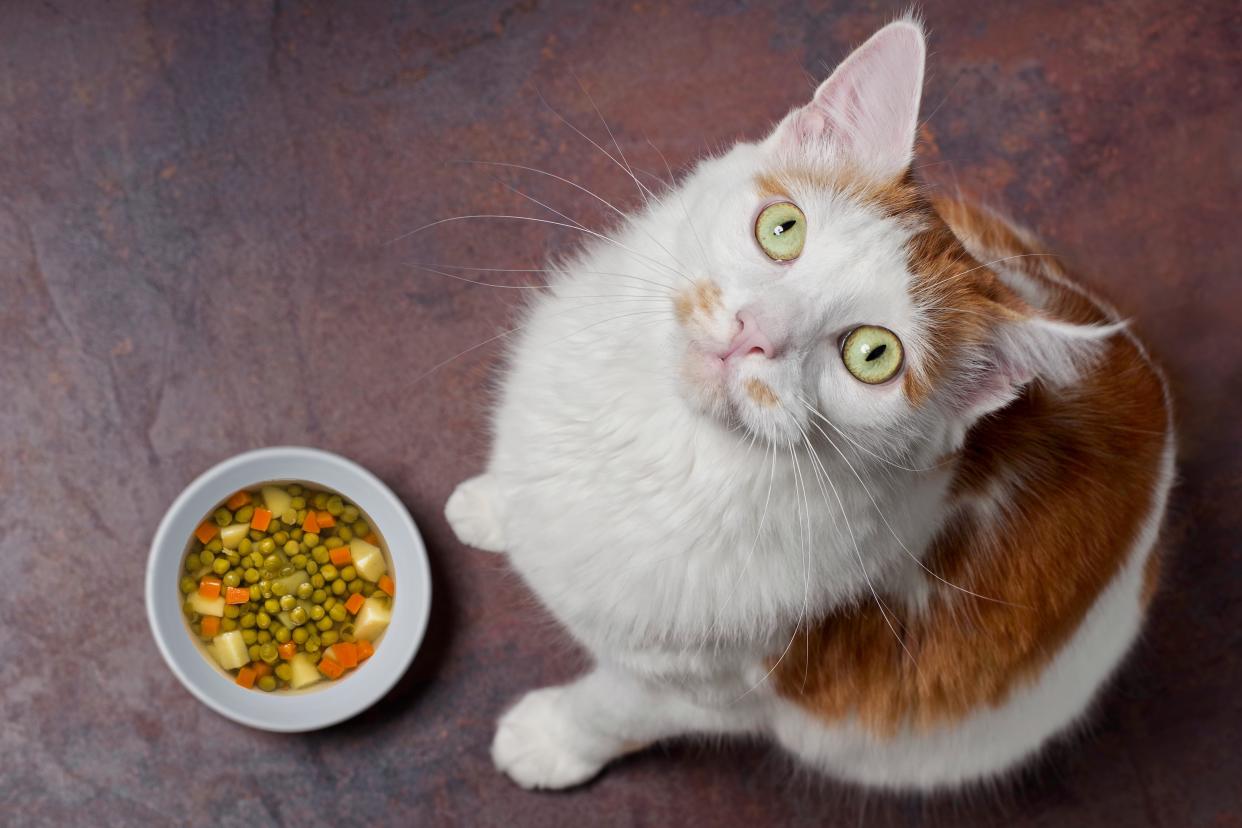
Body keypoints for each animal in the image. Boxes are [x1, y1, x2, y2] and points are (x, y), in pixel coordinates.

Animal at [444, 19, 1172, 794]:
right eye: (782, 228)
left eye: (873, 355)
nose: (754, 332)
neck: (669, 446)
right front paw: (494, 505)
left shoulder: (716, 687)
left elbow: (610, 710)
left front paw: (549, 741)